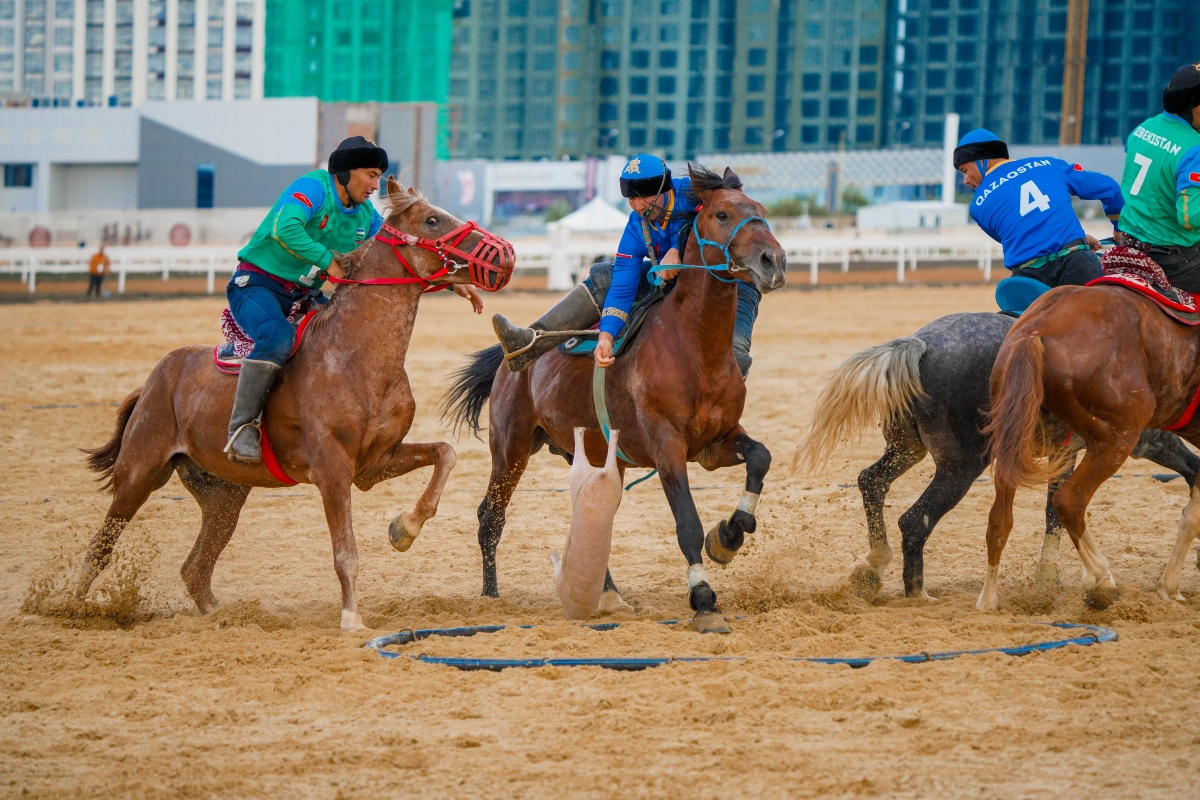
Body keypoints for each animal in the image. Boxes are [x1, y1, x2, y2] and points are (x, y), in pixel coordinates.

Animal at [73, 176, 516, 633]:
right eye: (431, 220)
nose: (505, 254)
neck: (356, 357)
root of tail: (154, 380)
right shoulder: (333, 471)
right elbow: (346, 553)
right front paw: (351, 618)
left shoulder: (375, 464)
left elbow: (445, 454)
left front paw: (403, 529)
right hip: (139, 474)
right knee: (100, 547)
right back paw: (70, 608)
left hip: (224, 497)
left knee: (195, 568)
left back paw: (225, 616)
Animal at [441, 165, 787, 633]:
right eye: (721, 213)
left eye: (761, 210)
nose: (774, 261)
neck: (694, 348)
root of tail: (509, 362)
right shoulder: (666, 447)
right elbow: (688, 524)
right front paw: (703, 599)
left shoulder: (716, 441)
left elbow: (760, 458)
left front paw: (730, 535)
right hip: (510, 446)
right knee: (490, 517)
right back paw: (491, 597)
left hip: (596, 454)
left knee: (593, 512)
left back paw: (605, 595)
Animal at [796, 311, 1200, 599]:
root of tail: (921, 345)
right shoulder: (1142, 441)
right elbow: (1193, 470)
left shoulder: (1067, 456)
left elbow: (1055, 510)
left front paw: (1048, 577)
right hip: (961, 467)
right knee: (914, 520)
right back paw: (918, 594)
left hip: (906, 449)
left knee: (872, 482)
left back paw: (872, 567)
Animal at [979, 287, 1200, 614]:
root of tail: (1037, 329)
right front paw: (1169, 587)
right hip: (1116, 438)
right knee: (1069, 500)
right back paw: (1101, 580)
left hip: (1010, 436)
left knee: (999, 517)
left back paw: (988, 599)